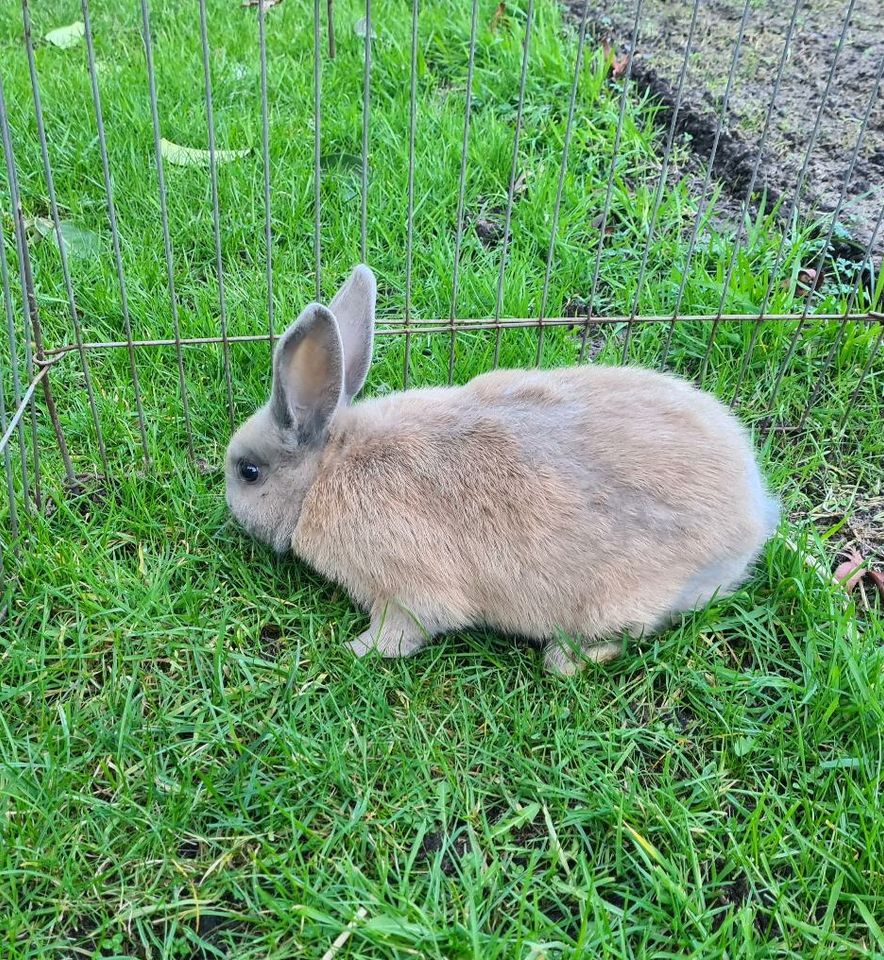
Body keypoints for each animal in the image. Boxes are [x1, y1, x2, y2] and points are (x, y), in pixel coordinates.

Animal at [224, 264, 776, 676]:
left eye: (249, 472)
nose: (228, 508)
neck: (327, 468)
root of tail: (754, 518)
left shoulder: (405, 590)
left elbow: (403, 631)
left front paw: (353, 651)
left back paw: (566, 657)